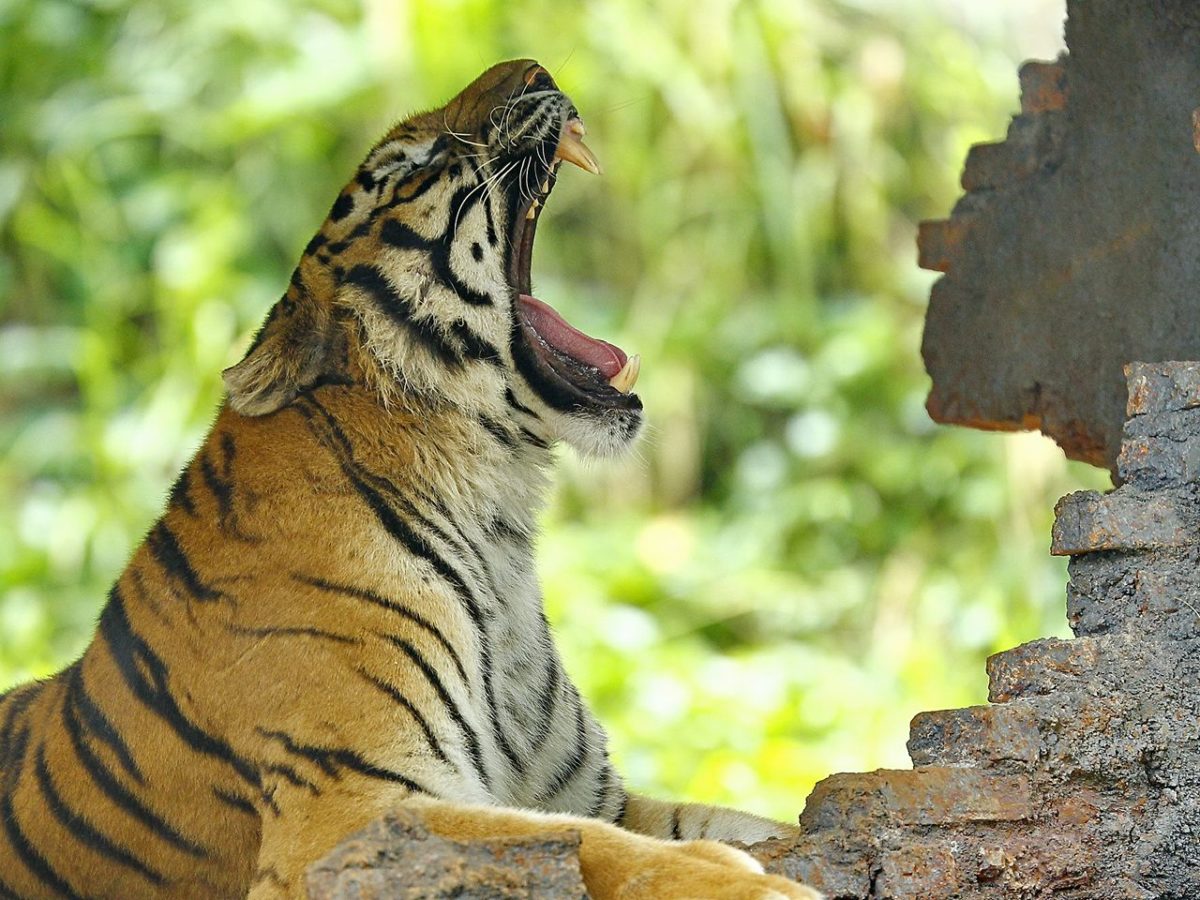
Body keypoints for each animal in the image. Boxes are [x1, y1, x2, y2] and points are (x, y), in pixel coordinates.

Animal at [0, 60, 820, 897]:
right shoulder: (352, 807)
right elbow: (589, 844)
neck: (498, 516)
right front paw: (760, 882)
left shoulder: (591, 792)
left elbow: (737, 823)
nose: (535, 67)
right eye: (414, 164)